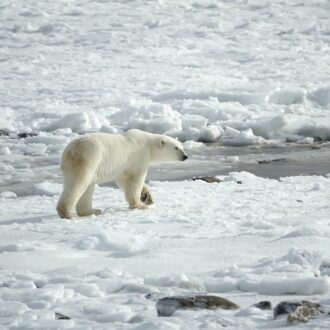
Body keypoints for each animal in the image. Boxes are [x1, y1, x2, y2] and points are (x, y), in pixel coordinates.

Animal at [56, 129, 188, 219]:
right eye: (176, 148)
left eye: (182, 146)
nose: (185, 156)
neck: (148, 145)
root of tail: (68, 151)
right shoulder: (139, 156)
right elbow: (135, 180)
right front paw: (140, 205)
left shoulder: (123, 166)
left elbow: (123, 180)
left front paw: (147, 197)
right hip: (88, 159)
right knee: (78, 183)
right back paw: (68, 213)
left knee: (87, 187)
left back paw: (92, 211)